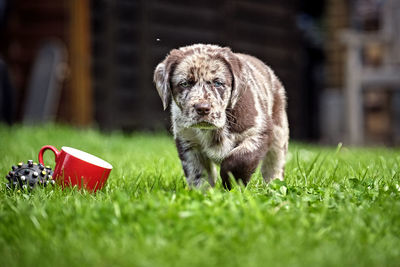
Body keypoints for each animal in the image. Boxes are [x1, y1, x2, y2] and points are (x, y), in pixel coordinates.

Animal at [152, 44, 288, 189]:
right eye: (185, 83)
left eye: (217, 83)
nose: (202, 108)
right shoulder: (188, 142)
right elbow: (198, 174)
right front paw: (202, 192)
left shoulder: (259, 132)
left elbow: (239, 160)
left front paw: (231, 184)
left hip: (279, 132)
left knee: (275, 163)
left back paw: (274, 183)